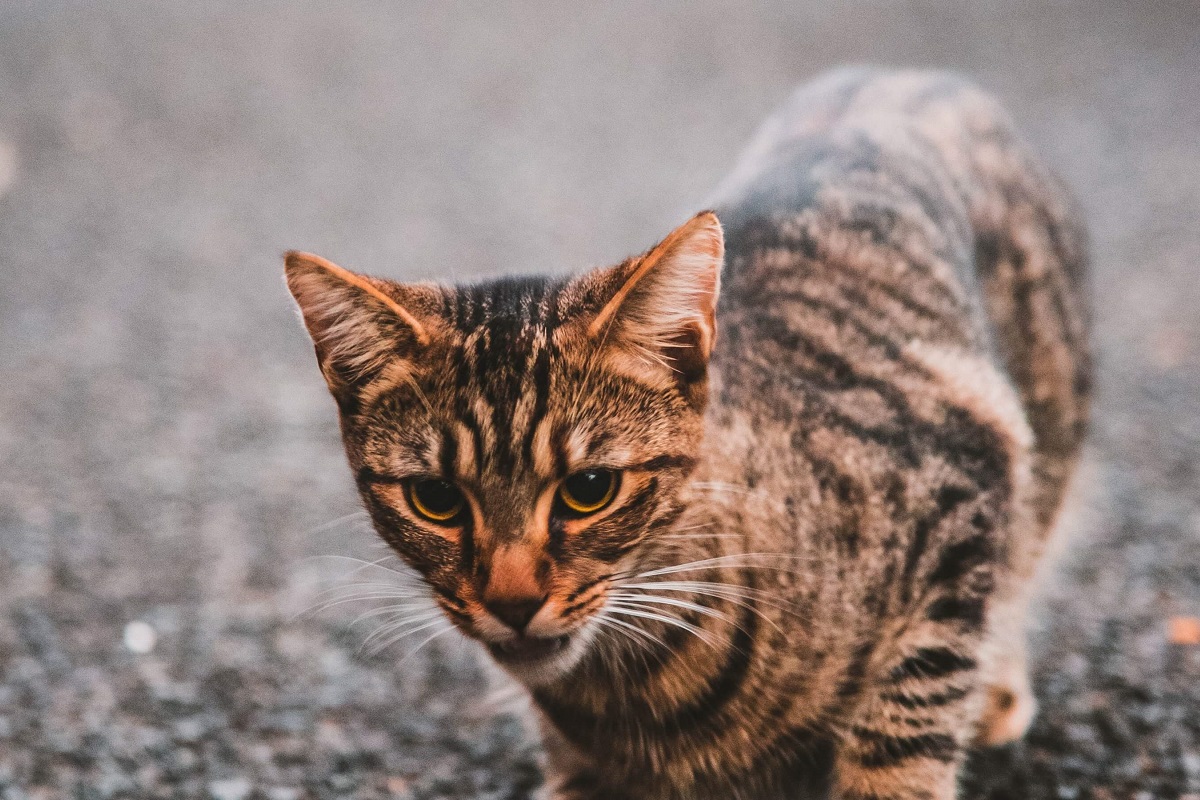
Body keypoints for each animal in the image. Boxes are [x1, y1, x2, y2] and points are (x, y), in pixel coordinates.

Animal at [285, 70, 1094, 800]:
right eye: (436, 499)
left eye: (589, 489)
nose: (512, 602)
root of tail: (911, 73)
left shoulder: (961, 480)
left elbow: (905, 728)